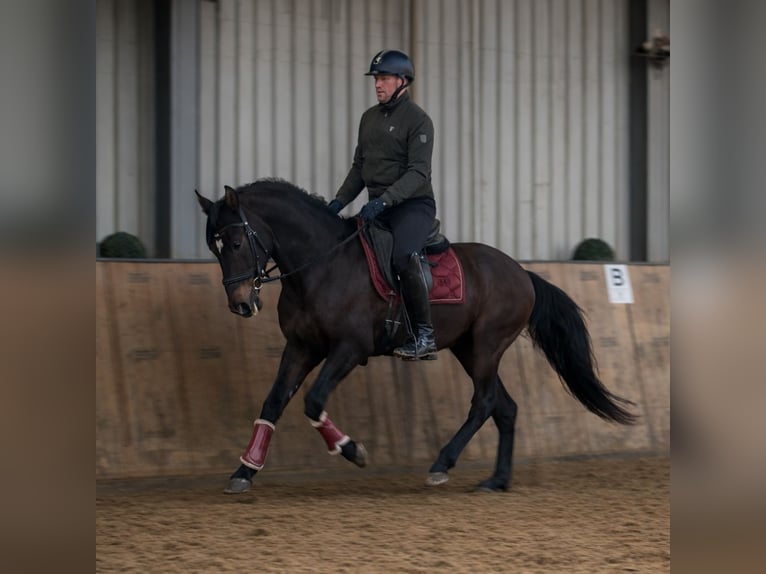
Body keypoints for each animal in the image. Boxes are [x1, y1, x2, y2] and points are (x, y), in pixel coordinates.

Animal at [195, 178, 636, 494]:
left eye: (236, 241)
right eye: (214, 248)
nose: (240, 304)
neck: (321, 266)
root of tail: (522, 272)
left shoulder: (348, 349)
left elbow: (313, 400)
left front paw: (353, 451)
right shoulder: (302, 347)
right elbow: (273, 402)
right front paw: (245, 469)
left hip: (488, 345)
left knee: (485, 402)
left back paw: (442, 465)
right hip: (467, 348)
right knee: (505, 408)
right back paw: (496, 481)